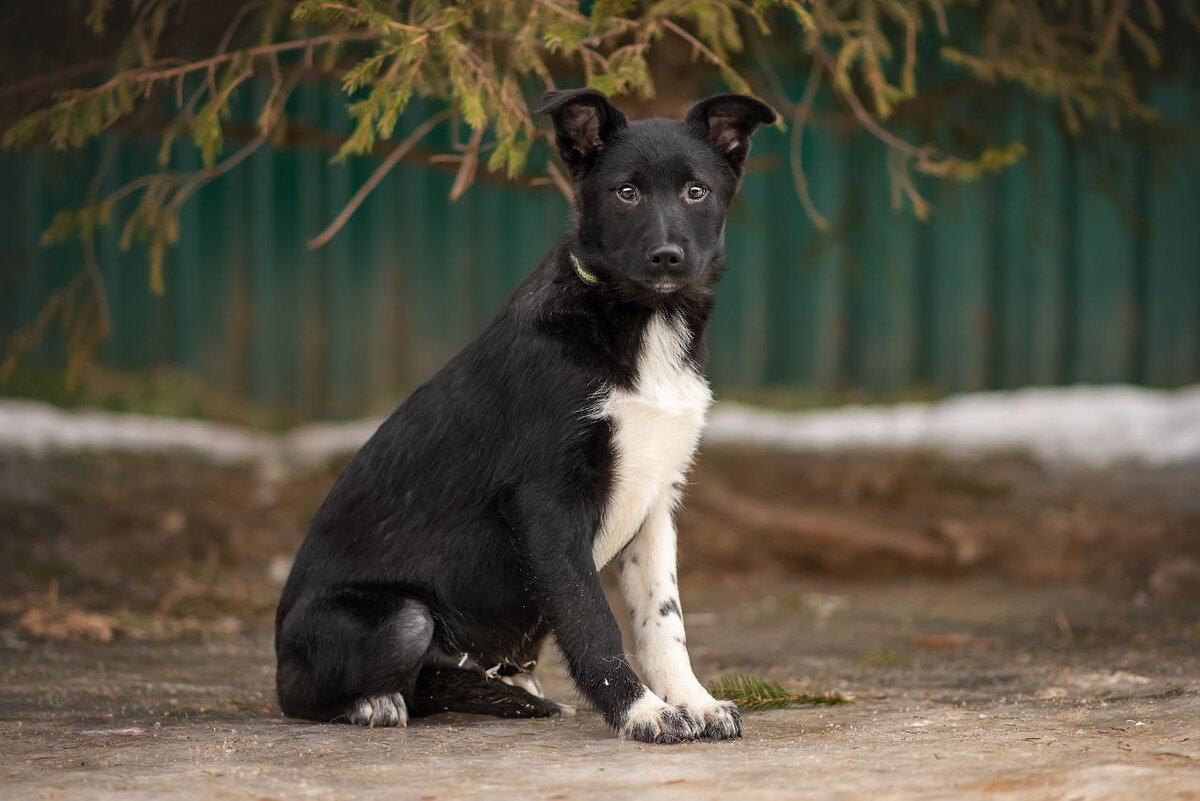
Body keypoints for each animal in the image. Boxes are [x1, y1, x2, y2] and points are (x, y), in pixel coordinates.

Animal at [274, 89, 777, 743]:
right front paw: (640, 711)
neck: (642, 321)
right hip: (399, 619)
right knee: (307, 692)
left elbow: (663, 621)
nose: (668, 256)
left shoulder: (656, 501)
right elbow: (592, 620)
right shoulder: (548, 501)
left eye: (697, 191)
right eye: (626, 192)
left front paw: (694, 702)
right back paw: (372, 703)